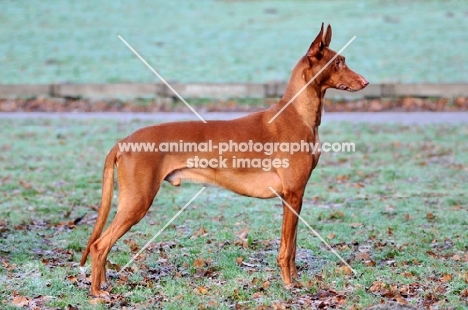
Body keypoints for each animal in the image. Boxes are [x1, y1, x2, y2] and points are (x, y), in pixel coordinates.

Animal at [80, 23, 368, 296]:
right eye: (339, 62)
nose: (365, 82)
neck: (298, 114)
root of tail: (123, 142)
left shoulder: (294, 195)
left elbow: (294, 246)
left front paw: (295, 281)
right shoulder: (293, 193)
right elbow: (286, 249)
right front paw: (288, 285)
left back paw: (103, 284)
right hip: (137, 201)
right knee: (98, 245)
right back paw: (96, 292)